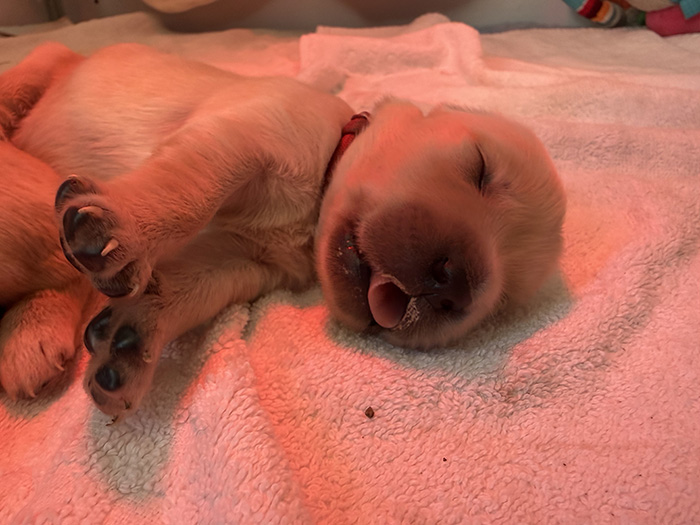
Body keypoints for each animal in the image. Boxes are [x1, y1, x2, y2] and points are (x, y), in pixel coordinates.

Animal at [0, 42, 566, 421]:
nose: (457, 286)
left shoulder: (243, 262)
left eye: (501, 300)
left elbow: (186, 287)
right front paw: (123, 232)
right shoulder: (251, 134)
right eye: (480, 167)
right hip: (43, 67)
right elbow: (192, 188)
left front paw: (129, 337)